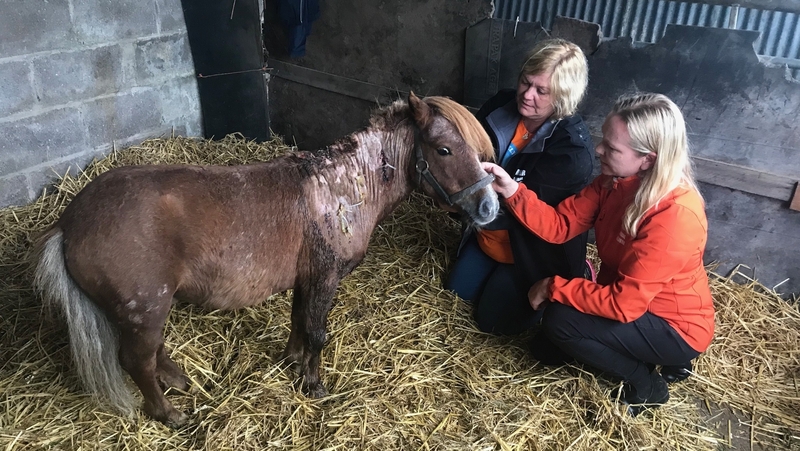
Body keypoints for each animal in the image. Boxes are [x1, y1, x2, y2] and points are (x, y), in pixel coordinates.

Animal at [32, 92, 499, 427]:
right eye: (443, 149)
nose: (489, 207)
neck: (341, 189)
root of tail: (69, 224)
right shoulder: (325, 277)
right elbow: (317, 333)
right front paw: (313, 384)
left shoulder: (307, 279)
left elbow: (299, 322)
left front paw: (292, 362)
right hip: (144, 307)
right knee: (137, 360)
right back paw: (169, 413)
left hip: (144, 311)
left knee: (151, 353)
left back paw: (178, 381)